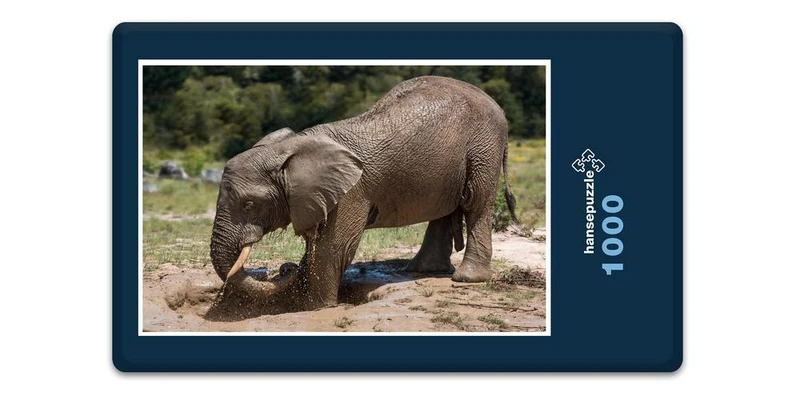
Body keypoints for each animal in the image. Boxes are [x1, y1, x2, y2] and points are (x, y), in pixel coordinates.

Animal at [210, 75, 517, 312]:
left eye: (249, 204)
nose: (282, 268)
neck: (292, 148)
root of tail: (498, 107)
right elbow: (317, 246)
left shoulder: (351, 193)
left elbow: (333, 247)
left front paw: (315, 308)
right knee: (445, 209)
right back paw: (421, 270)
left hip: (484, 146)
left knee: (476, 202)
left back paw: (466, 279)